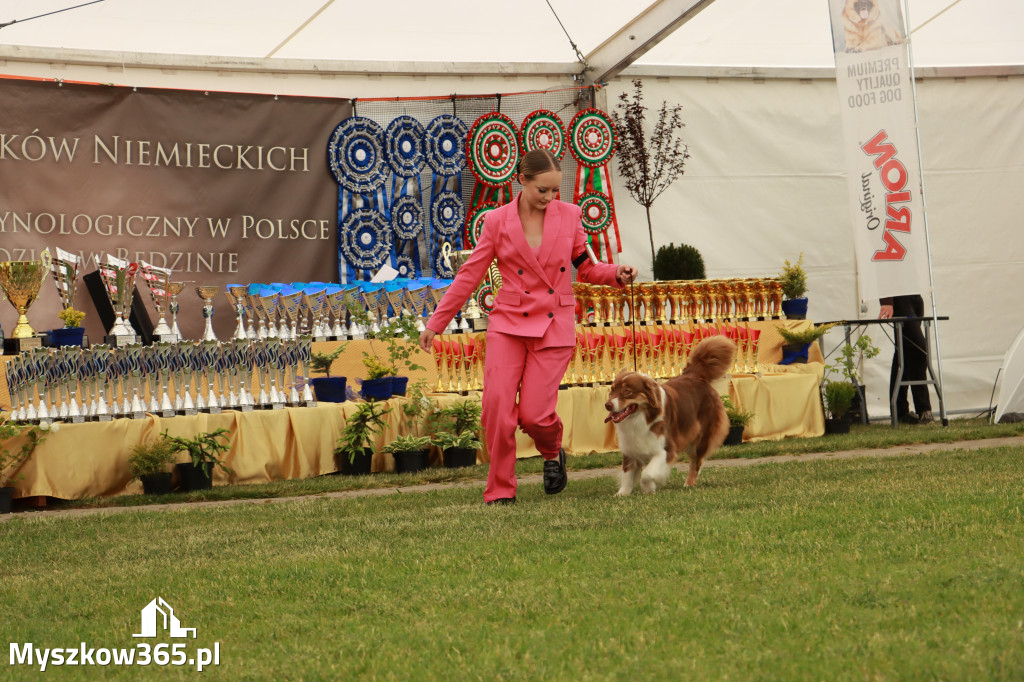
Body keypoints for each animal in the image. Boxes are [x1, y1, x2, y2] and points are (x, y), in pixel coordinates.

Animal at [598, 333, 737, 493]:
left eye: (627, 391)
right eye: (612, 389)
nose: (607, 405)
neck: (640, 417)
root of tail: (695, 376)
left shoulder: (666, 449)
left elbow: (647, 474)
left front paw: (649, 488)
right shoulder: (630, 448)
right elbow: (627, 473)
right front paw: (622, 494)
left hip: (702, 437)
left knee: (696, 462)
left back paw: (688, 484)